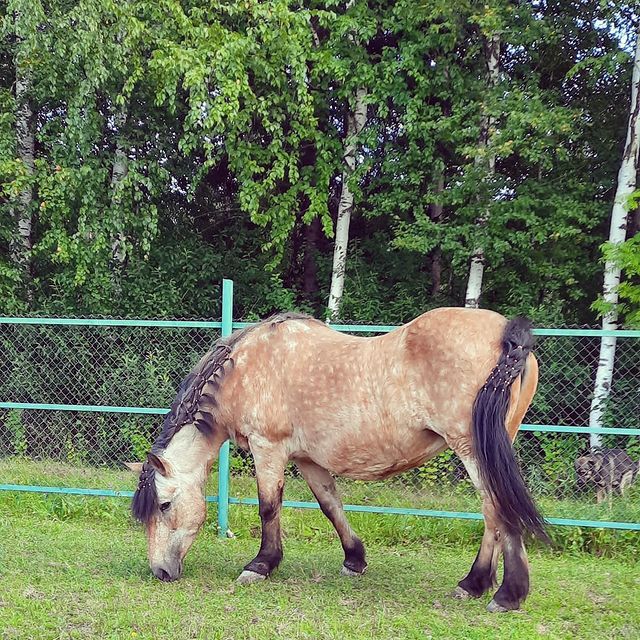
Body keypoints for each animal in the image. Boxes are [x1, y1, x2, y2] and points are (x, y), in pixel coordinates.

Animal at [128, 308, 546, 612]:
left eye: (164, 505)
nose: (160, 572)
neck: (247, 367)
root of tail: (506, 332)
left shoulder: (268, 449)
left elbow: (268, 507)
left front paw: (260, 566)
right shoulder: (308, 460)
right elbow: (331, 505)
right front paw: (354, 560)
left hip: (472, 449)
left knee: (495, 508)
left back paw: (501, 593)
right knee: (495, 514)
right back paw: (478, 585)